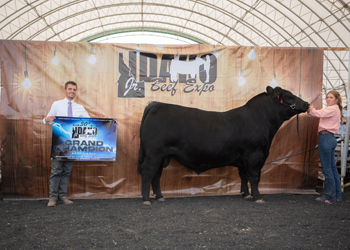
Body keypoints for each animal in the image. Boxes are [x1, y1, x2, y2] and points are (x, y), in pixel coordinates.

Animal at [137, 87, 308, 204]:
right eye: (288, 97)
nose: (307, 103)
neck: (262, 120)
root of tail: (155, 104)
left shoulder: (244, 159)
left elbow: (244, 176)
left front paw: (246, 194)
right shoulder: (255, 155)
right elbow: (254, 176)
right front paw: (258, 197)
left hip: (161, 156)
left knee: (156, 174)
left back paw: (160, 196)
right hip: (154, 153)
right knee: (148, 172)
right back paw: (146, 199)